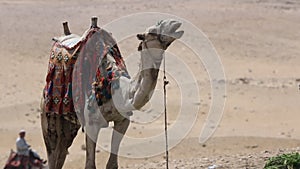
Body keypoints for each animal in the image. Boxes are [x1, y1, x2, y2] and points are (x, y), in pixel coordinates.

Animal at [40, 17, 183, 169]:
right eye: (152, 32)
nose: (174, 22)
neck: (120, 92)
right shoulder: (91, 124)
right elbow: (90, 165)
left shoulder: (123, 121)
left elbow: (112, 164)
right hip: (48, 115)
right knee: (52, 151)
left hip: (68, 126)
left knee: (62, 149)